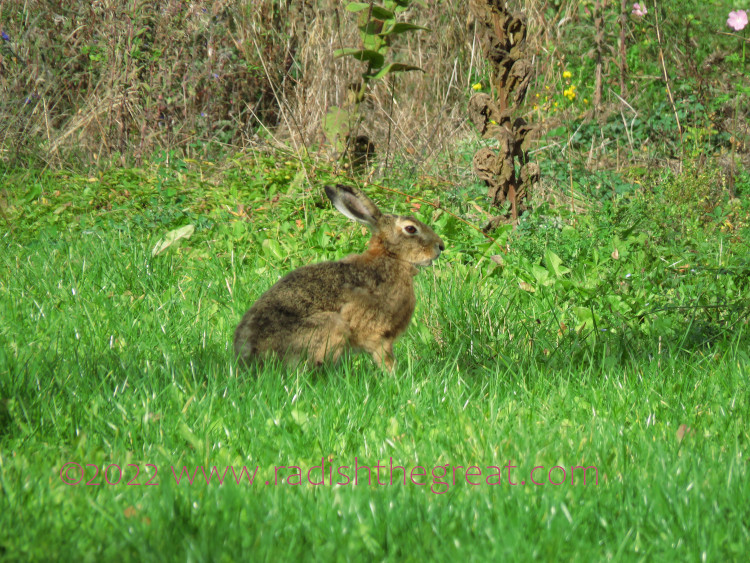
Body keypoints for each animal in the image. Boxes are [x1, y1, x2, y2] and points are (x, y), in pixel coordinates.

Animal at [233, 184, 445, 371]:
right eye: (411, 229)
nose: (440, 246)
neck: (391, 256)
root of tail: (249, 359)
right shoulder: (377, 331)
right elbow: (383, 356)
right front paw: (393, 376)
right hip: (330, 326)